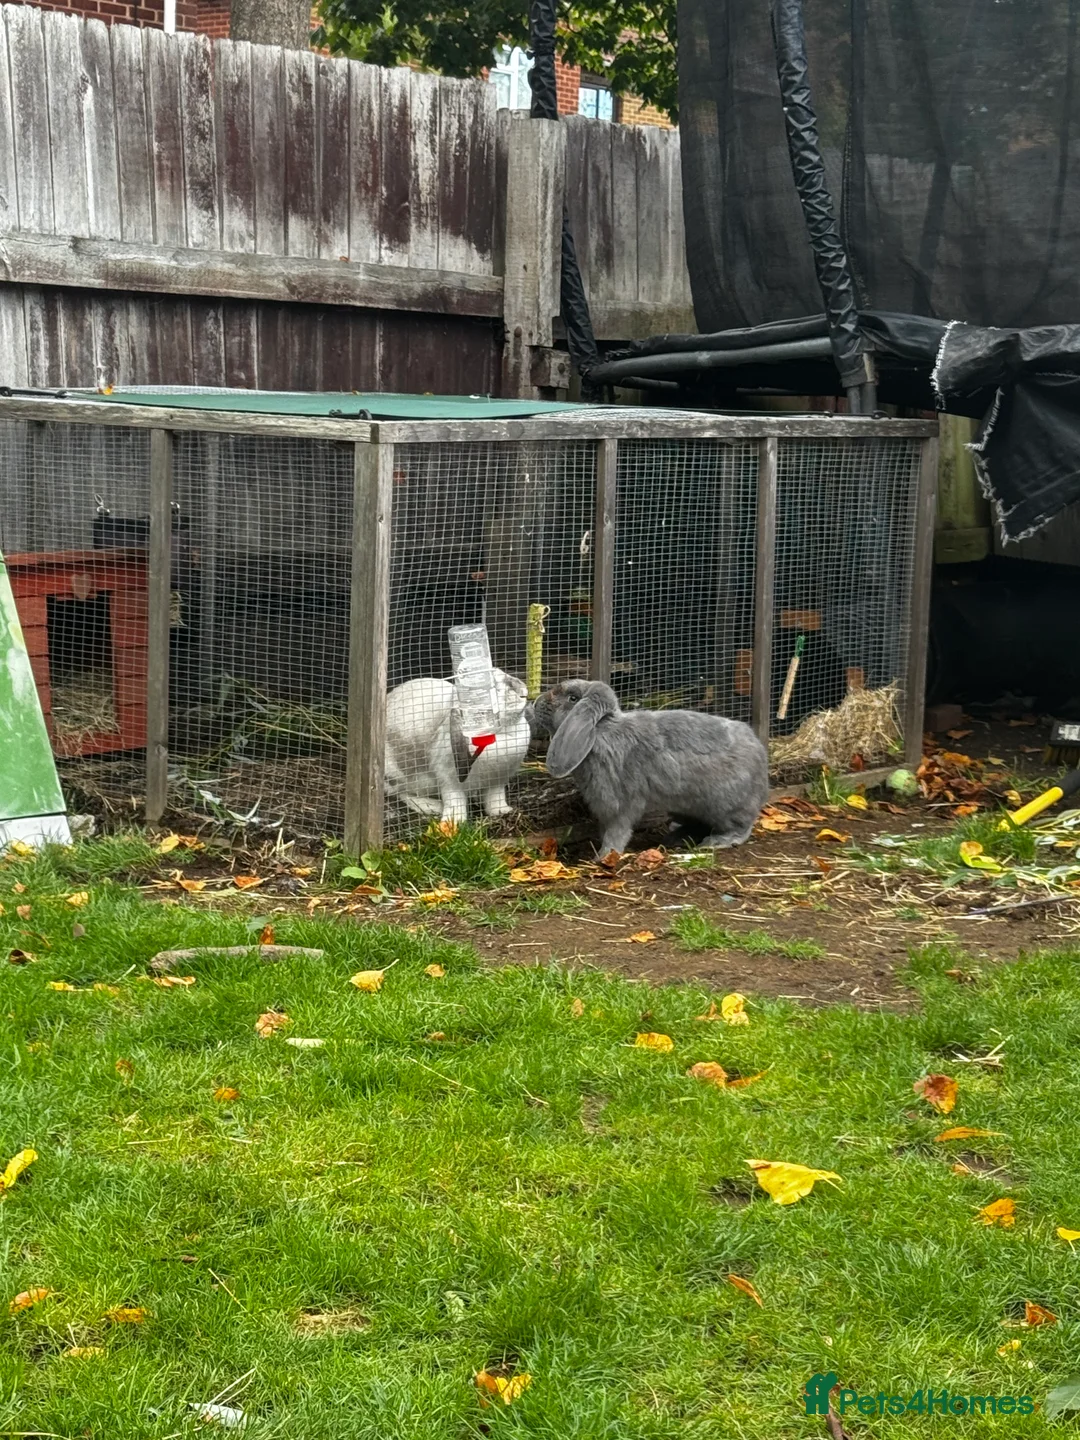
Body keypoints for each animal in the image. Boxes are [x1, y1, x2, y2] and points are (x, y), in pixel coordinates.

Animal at [384, 671, 531, 823]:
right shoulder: (450, 779)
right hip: (399, 775)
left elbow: (495, 798)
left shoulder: (497, 780)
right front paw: (453, 821)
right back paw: (433, 806)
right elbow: (454, 799)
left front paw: (502, 811)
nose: (522, 691)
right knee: (401, 793)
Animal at [532, 679, 768, 855]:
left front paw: (603, 856)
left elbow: (617, 831)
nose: (535, 703)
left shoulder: (620, 804)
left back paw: (718, 841)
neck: (601, 731)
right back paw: (676, 837)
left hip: (724, 805)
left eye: (572, 699)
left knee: (741, 826)